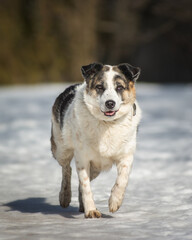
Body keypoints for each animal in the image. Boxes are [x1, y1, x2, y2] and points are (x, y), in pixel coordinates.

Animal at [50, 62, 141, 218]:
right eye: (99, 87)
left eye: (119, 87)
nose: (110, 103)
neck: (107, 124)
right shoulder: (83, 158)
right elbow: (85, 186)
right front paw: (91, 210)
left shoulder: (126, 155)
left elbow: (122, 179)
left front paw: (115, 201)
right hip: (61, 149)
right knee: (67, 169)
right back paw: (65, 197)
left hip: (96, 168)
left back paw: (81, 205)